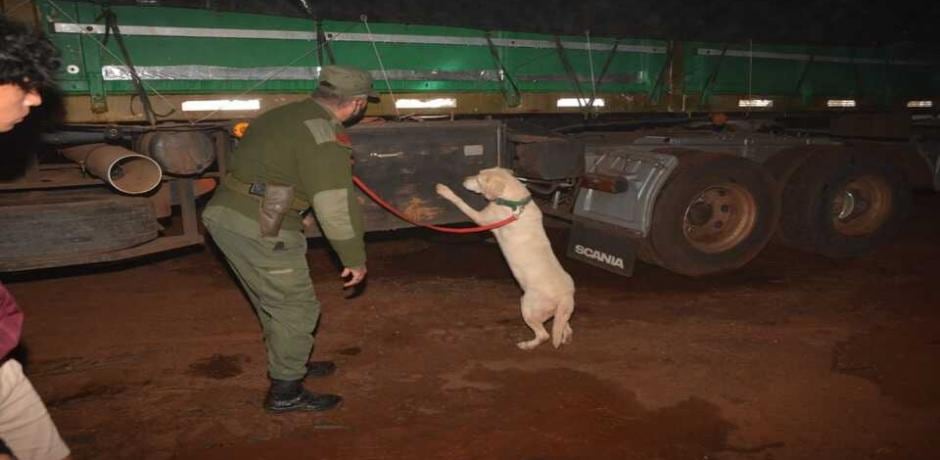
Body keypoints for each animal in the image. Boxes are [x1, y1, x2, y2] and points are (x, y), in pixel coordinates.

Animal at [436, 167, 576, 350]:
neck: (514, 201)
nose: (464, 179)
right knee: (564, 326)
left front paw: (445, 191)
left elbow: (461, 202)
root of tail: (565, 296)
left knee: (544, 335)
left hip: (527, 306)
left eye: (479, 179)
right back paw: (566, 337)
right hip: (560, 313)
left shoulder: (481, 219)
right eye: (477, 173)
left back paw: (527, 345)